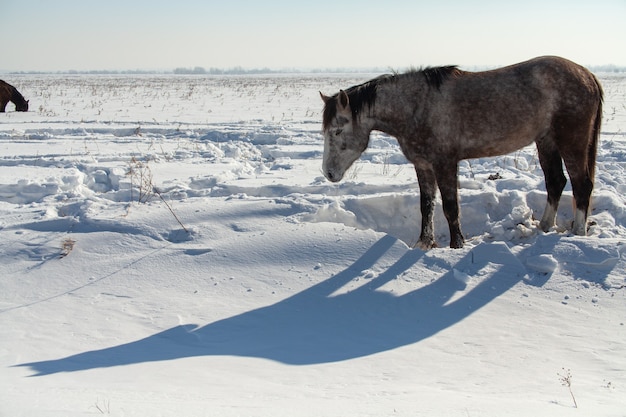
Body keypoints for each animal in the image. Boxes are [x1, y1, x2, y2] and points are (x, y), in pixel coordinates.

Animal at [320, 57, 604, 249]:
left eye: (337, 130)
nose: (328, 173)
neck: (417, 106)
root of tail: (588, 75)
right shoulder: (423, 165)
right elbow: (426, 206)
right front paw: (424, 244)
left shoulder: (445, 163)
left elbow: (450, 207)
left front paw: (457, 245)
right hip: (546, 142)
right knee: (555, 182)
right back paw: (543, 229)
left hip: (572, 142)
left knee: (581, 185)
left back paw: (578, 234)